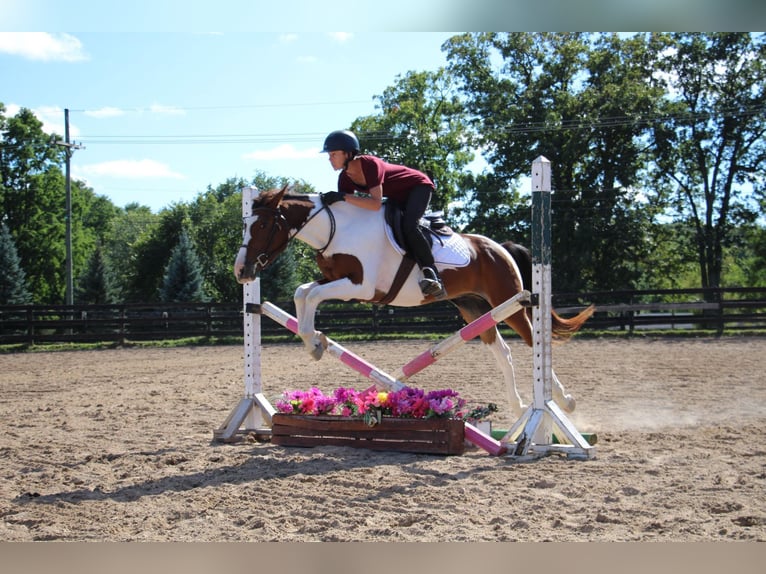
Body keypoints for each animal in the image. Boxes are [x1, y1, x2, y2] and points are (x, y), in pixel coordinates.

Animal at [234, 187, 592, 420]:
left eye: (263, 225)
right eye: (246, 224)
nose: (241, 271)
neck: (338, 228)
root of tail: (500, 247)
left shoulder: (360, 287)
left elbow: (310, 295)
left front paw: (315, 342)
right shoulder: (338, 281)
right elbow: (302, 292)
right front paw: (314, 343)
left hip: (510, 302)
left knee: (534, 341)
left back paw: (564, 402)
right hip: (475, 309)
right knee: (503, 351)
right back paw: (518, 406)